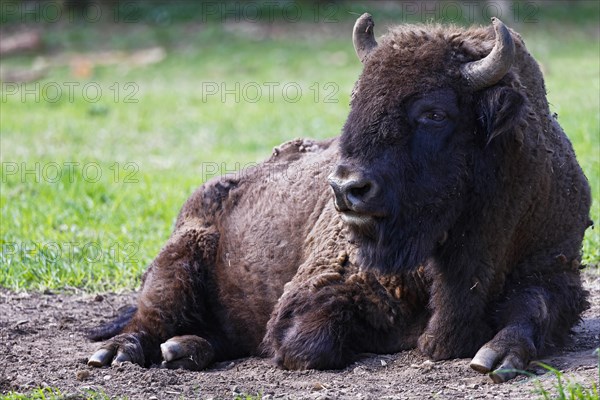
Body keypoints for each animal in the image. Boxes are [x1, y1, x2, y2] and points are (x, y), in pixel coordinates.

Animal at [86, 14, 592, 382]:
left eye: (434, 112)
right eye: (357, 100)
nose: (346, 188)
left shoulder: (555, 271)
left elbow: (532, 309)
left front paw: (496, 357)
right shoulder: (319, 291)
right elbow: (310, 342)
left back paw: (184, 350)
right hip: (177, 262)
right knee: (149, 316)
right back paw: (118, 353)